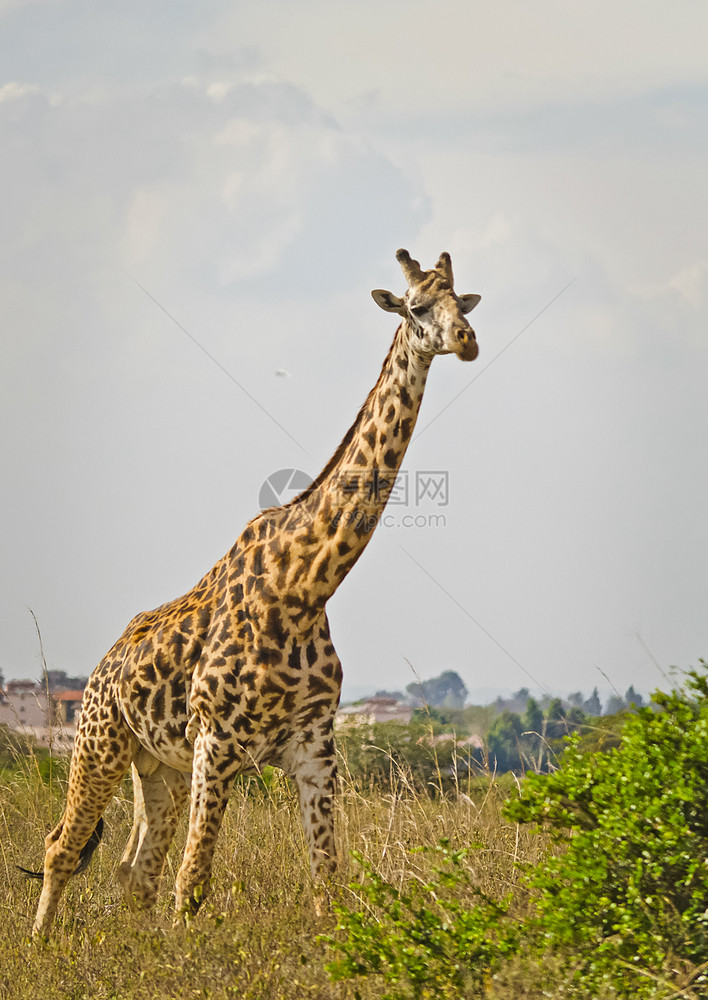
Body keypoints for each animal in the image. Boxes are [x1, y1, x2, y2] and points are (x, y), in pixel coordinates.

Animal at [24, 246, 478, 932]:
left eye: (465, 299)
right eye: (420, 306)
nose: (467, 339)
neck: (305, 588)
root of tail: (104, 664)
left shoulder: (315, 750)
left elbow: (327, 886)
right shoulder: (217, 742)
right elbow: (193, 884)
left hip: (157, 768)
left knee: (135, 873)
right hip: (99, 743)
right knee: (65, 846)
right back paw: (41, 945)